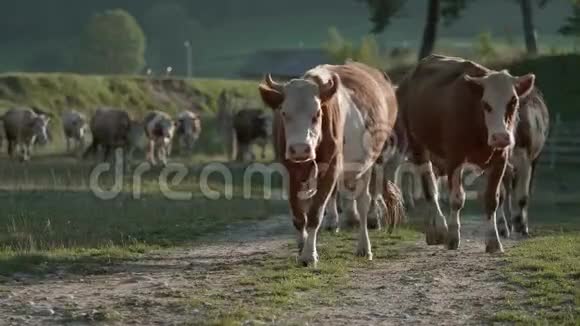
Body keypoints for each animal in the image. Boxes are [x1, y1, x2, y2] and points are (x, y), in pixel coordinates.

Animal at [260, 59, 406, 266]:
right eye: (284, 113)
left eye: (317, 114)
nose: (300, 149)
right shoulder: (288, 170)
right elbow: (298, 215)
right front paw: (301, 247)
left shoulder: (331, 168)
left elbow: (315, 214)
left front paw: (309, 255)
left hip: (372, 161)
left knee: (365, 200)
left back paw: (364, 244)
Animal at [396, 54, 536, 253]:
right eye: (485, 104)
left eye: (513, 102)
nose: (501, 137)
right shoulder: (454, 159)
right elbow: (457, 198)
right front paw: (453, 236)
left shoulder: (500, 160)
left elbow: (492, 200)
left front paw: (493, 240)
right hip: (418, 147)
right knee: (429, 188)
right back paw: (437, 229)